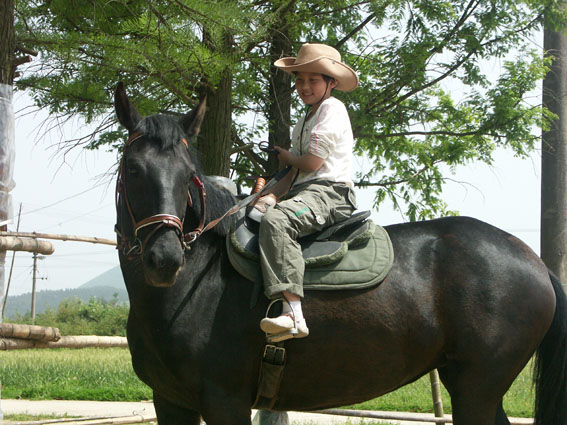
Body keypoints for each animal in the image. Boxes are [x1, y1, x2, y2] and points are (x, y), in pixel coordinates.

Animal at [114, 83, 567, 424]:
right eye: (133, 169)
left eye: (188, 175)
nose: (166, 258)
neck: (197, 281)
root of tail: (535, 262)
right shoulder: (171, 402)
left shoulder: (225, 402)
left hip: (477, 389)